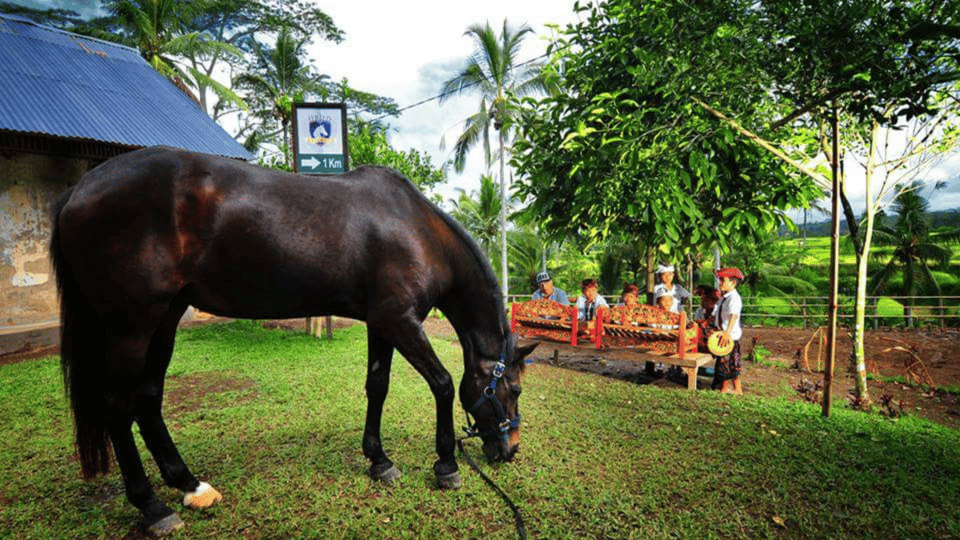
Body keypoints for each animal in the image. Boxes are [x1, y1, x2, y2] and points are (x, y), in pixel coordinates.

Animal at [49, 146, 537, 535]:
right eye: (513, 389)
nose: (511, 450)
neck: (416, 230)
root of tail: (80, 188)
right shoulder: (401, 321)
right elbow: (442, 383)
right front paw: (446, 466)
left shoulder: (381, 323)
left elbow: (377, 387)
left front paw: (379, 461)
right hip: (131, 326)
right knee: (118, 406)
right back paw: (151, 507)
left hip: (164, 319)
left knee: (148, 399)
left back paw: (189, 485)